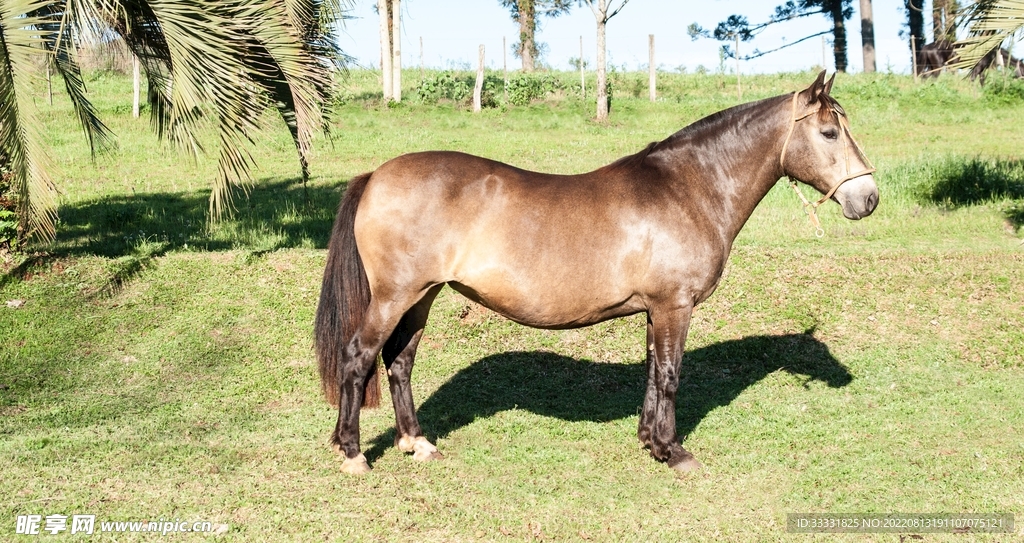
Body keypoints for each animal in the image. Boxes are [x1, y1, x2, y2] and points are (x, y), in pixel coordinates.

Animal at [315, 71, 879, 475]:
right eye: (829, 131)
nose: (868, 198)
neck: (689, 187)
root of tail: (376, 175)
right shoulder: (674, 305)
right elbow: (670, 374)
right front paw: (674, 452)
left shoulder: (655, 309)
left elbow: (653, 371)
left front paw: (650, 441)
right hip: (395, 295)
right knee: (358, 357)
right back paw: (353, 453)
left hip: (423, 296)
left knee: (399, 362)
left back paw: (417, 442)